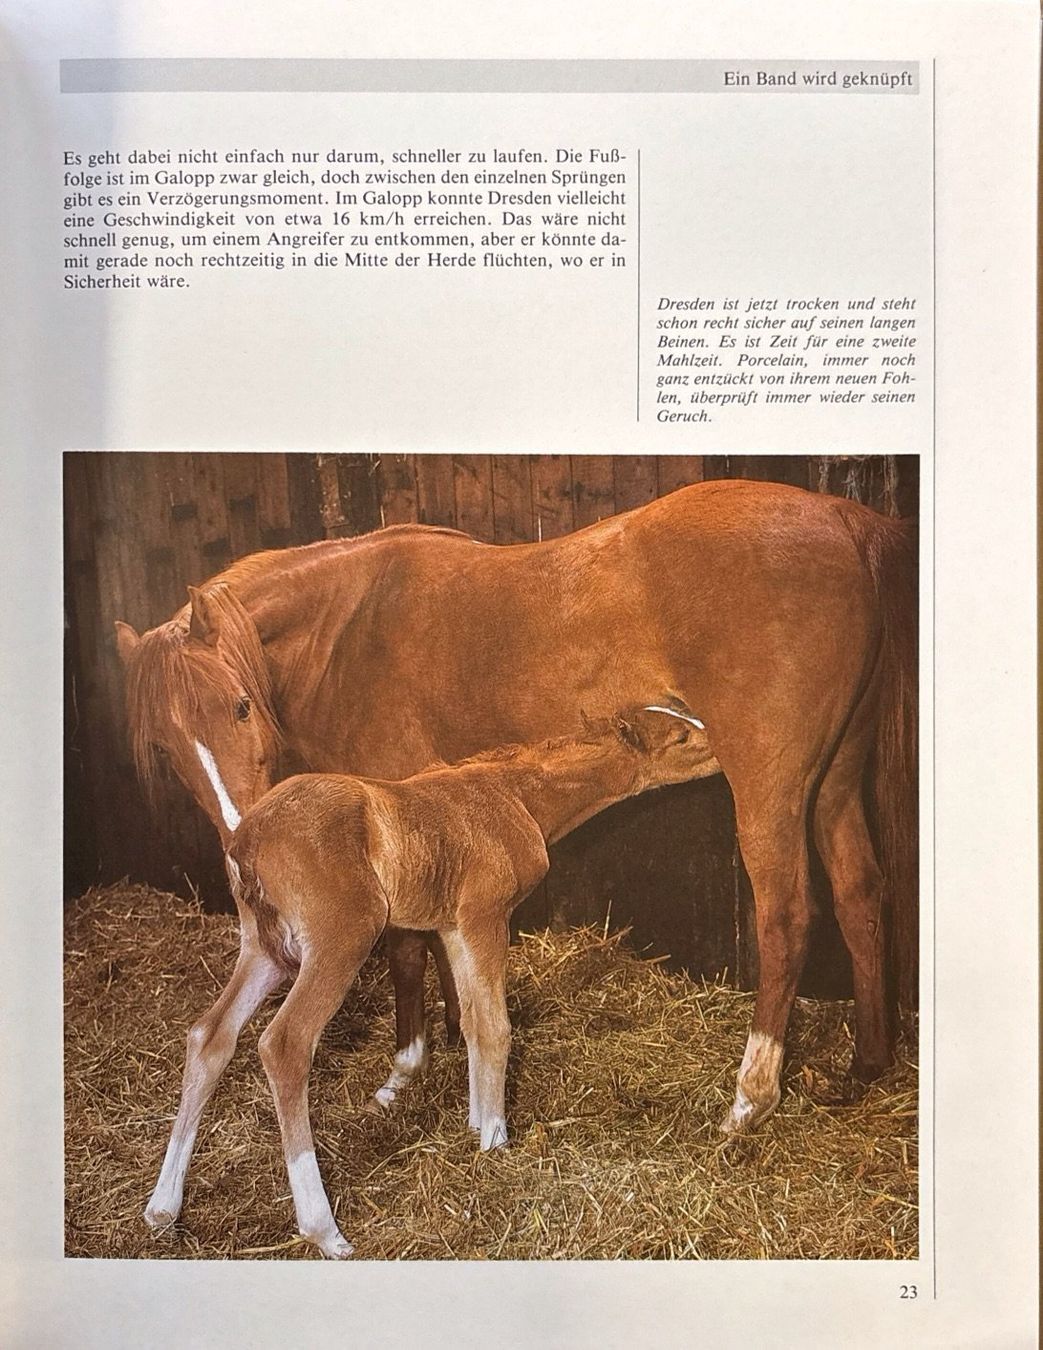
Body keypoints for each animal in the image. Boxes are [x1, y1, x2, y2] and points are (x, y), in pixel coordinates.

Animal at [115, 477, 918, 1136]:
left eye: (240, 705)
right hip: (834, 781)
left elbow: (405, 945)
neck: (348, 628)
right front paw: (448, 1040)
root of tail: (843, 519)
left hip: (769, 785)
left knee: (786, 917)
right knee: (859, 892)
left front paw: (406, 1070)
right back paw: (866, 1064)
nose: (238, 834)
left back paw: (749, 1098)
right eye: (161, 746)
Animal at [144, 703, 720, 1257]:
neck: (518, 797)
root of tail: (249, 838)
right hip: (340, 938)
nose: (724, 751)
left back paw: (162, 1208)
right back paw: (324, 1232)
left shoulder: (450, 927)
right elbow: (496, 1027)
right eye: (681, 737)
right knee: (285, 1043)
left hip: (266, 950)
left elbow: (471, 1022)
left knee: (210, 1035)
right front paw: (496, 1141)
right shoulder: (485, 916)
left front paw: (475, 1122)